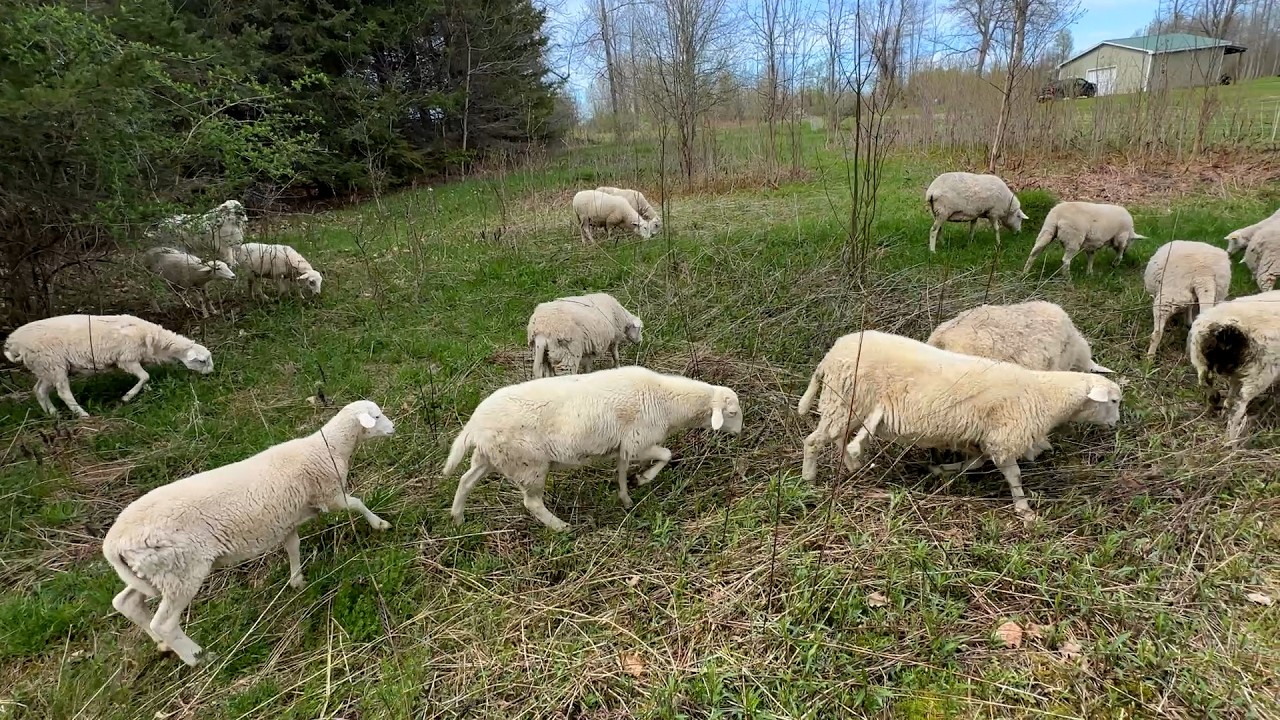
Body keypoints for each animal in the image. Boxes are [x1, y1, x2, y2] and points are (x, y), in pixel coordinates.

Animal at [3, 314, 214, 418]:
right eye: (202, 361)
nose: (211, 373)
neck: (156, 341)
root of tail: (13, 342)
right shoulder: (127, 358)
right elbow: (145, 376)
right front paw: (127, 397)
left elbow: (145, 378)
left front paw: (146, 391)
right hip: (53, 364)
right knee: (63, 392)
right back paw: (82, 414)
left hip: (45, 368)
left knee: (39, 390)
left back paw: (53, 414)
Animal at [101, 400, 395, 666]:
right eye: (376, 416)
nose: (393, 427)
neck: (327, 447)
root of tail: (113, 544)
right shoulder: (330, 495)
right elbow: (357, 503)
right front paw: (380, 524)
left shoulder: (286, 519)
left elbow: (293, 546)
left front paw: (297, 580)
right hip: (182, 570)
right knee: (164, 623)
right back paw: (199, 658)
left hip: (155, 572)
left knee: (126, 602)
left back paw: (162, 645)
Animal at [444, 366, 743, 531]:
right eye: (731, 412)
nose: (740, 432)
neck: (668, 401)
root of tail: (473, 424)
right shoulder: (638, 441)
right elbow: (666, 455)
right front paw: (643, 479)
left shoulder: (624, 446)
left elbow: (621, 472)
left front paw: (627, 496)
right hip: (528, 464)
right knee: (532, 503)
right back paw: (561, 527)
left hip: (491, 457)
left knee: (465, 481)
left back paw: (458, 519)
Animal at [797, 330, 1122, 517]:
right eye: (1115, 401)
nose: (1117, 424)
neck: (1045, 395)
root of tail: (831, 355)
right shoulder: (1004, 437)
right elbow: (1014, 475)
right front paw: (1024, 509)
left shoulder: (982, 438)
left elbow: (974, 464)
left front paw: (941, 469)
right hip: (843, 400)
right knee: (813, 442)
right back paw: (809, 480)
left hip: (846, 405)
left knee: (839, 438)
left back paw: (852, 466)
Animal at [1188, 292, 1280, 444]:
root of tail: (1226, 328)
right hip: (1260, 372)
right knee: (1238, 406)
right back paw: (1231, 440)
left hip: (1201, 359)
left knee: (1208, 385)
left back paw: (1216, 406)